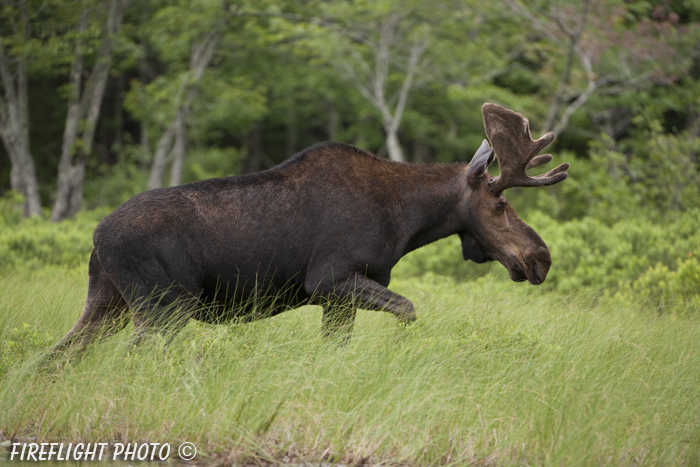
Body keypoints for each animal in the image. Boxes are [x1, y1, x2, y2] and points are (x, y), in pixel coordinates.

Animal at [53, 101, 568, 352]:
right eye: (500, 203)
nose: (540, 258)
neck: (408, 221)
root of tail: (96, 239)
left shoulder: (337, 297)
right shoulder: (329, 279)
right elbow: (408, 309)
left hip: (108, 303)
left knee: (57, 357)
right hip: (163, 307)